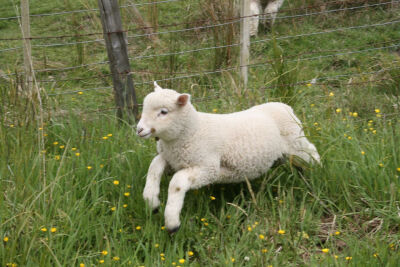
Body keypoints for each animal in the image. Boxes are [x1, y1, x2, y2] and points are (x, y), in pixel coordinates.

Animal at [137, 82, 318, 233]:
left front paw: (172, 222)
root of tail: (283, 105)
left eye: (163, 112)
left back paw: (316, 176)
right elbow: (154, 167)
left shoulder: (208, 168)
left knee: (312, 153)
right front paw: (151, 202)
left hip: (296, 143)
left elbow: (177, 183)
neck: (192, 131)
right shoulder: (172, 159)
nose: (139, 129)